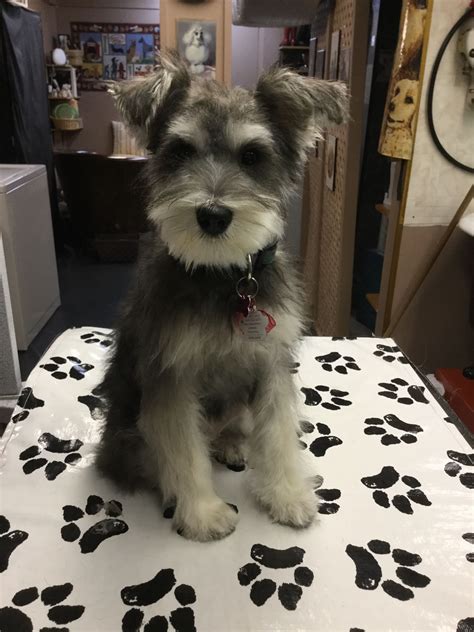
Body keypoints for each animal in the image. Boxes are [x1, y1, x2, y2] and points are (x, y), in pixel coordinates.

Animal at [96, 50, 348, 544]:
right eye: (180, 151)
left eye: (252, 156)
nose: (212, 215)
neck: (225, 276)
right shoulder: (171, 376)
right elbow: (182, 447)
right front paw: (202, 512)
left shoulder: (270, 363)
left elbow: (278, 431)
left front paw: (287, 495)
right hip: (127, 435)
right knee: (154, 458)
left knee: (235, 427)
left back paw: (232, 444)